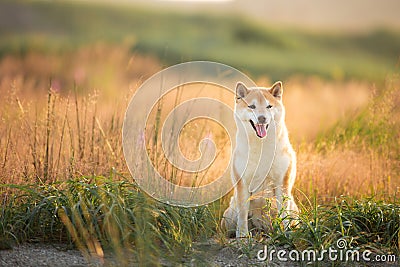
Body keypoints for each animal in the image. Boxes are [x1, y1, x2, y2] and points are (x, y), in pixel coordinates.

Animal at [222, 80, 296, 238]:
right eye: (252, 106)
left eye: (269, 106)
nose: (262, 118)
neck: (261, 146)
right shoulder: (243, 184)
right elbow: (243, 215)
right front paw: (243, 236)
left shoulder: (281, 183)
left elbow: (284, 214)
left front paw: (286, 233)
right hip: (230, 215)